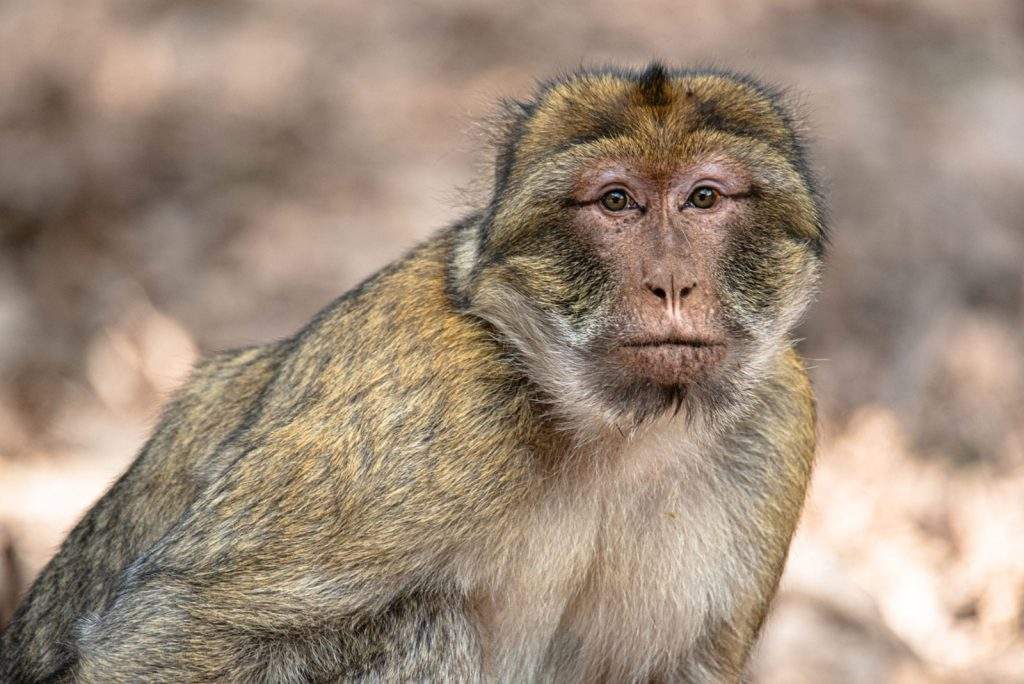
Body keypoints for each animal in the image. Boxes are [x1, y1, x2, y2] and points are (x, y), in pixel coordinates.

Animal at [0, 61, 823, 679]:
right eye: (617, 201)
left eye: (704, 197)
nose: (671, 285)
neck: (608, 429)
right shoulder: (434, 417)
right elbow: (170, 633)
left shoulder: (779, 422)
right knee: (426, 620)